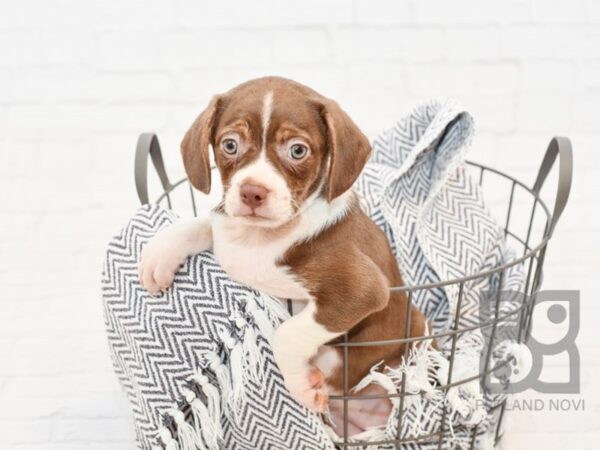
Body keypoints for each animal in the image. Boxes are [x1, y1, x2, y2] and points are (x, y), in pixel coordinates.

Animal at [139, 77, 428, 432]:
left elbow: (286, 333)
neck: (261, 238)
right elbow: (205, 223)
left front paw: (301, 384)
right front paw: (160, 252)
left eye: (297, 150)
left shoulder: (363, 289)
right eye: (230, 145)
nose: (252, 192)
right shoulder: (227, 228)